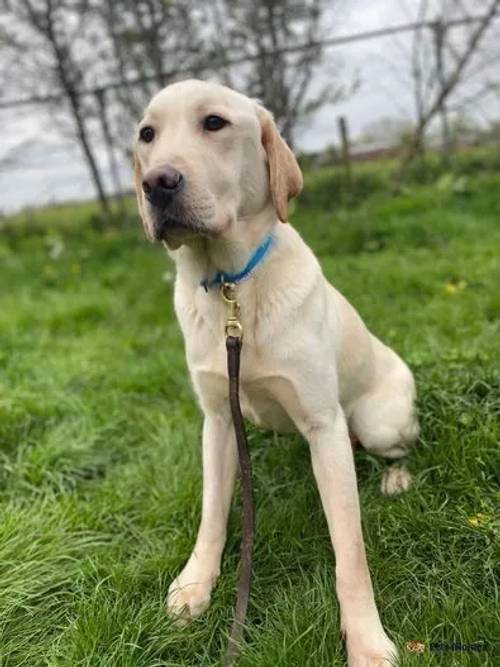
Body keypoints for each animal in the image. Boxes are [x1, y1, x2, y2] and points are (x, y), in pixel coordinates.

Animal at [134, 79, 418, 667]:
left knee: (399, 447)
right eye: (147, 134)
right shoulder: (219, 421)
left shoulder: (323, 425)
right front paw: (195, 586)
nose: (156, 183)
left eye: (214, 123)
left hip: (378, 423)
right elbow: (212, 515)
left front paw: (366, 639)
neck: (232, 287)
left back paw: (396, 478)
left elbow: (350, 551)